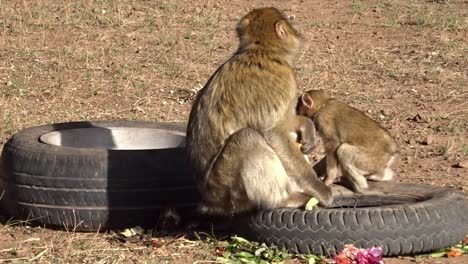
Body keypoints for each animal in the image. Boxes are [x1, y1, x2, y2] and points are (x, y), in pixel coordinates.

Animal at [186, 7, 332, 214]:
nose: (297, 34)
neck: (260, 50)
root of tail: (208, 202)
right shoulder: (285, 78)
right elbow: (275, 133)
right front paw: (320, 189)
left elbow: (284, 124)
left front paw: (306, 126)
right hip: (225, 188)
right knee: (247, 137)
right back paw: (284, 200)